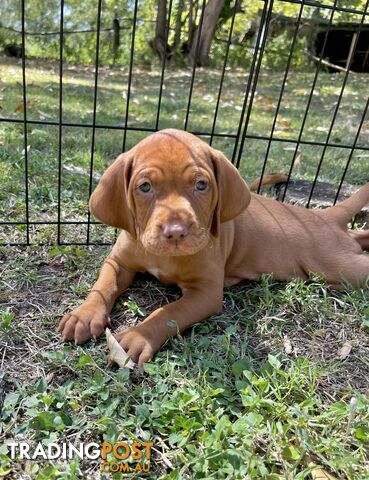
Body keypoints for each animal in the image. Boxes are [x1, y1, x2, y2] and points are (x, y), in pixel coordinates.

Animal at [57, 129, 368, 366]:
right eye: (144, 187)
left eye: (201, 185)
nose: (176, 231)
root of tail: (326, 216)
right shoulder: (119, 262)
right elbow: (104, 284)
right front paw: (85, 315)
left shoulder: (206, 293)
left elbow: (168, 313)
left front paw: (139, 336)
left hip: (341, 267)